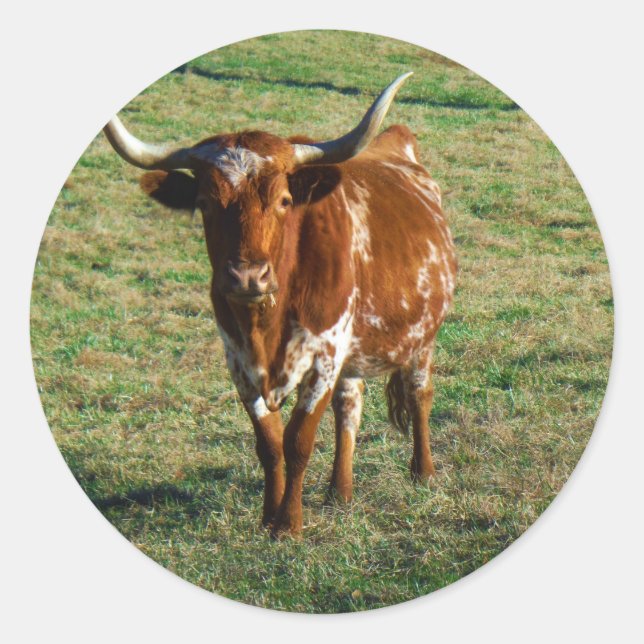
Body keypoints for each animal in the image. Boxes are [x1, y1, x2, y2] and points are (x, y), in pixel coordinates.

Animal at [103, 72, 457, 537]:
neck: (265, 324)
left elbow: (298, 440)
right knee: (350, 405)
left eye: (284, 201)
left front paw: (289, 524)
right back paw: (340, 492)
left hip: (422, 338)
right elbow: (269, 443)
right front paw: (269, 516)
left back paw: (423, 472)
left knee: (419, 394)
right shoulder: (239, 362)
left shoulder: (324, 358)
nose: (247, 277)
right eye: (204, 203)